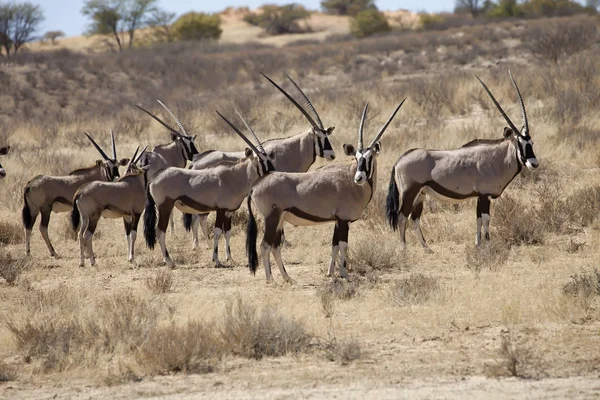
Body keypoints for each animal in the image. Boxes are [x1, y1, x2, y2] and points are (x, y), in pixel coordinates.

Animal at [144, 111, 276, 268]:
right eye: (261, 161)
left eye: (269, 159)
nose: (273, 172)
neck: (234, 177)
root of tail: (155, 177)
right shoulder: (221, 210)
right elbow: (218, 232)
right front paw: (216, 260)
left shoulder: (229, 212)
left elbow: (227, 232)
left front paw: (230, 258)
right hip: (165, 206)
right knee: (160, 231)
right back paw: (169, 261)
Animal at [185, 72, 336, 250]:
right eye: (319, 137)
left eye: (327, 135)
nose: (332, 155)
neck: (289, 151)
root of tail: (195, 161)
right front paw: (284, 241)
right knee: (197, 218)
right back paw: (197, 245)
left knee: (198, 218)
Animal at [246, 101, 406, 282]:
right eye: (356, 158)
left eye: (369, 158)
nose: (359, 178)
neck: (349, 176)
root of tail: (255, 186)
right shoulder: (343, 220)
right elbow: (343, 246)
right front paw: (344, 274)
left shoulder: (337, 220)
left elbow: (334, 245)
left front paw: (331, 273)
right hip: (271, 218)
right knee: (264, 246)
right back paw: (270, 279)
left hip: (279, 220)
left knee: (274, 246)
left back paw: (287, 278)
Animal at [386, 70, 536, 248]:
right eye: (519, 144)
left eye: (531, 143)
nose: (534, 163)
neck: (497, 159)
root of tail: (399, 160)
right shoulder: (484, 195)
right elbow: (486, 219)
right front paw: (488, 245)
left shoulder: (480, 196)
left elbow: (478, 219)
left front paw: (478, 244)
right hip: (410, 192)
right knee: (402, 217)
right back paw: (404, 249)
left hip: (420, 195)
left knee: (414, 218)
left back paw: (427, 248)